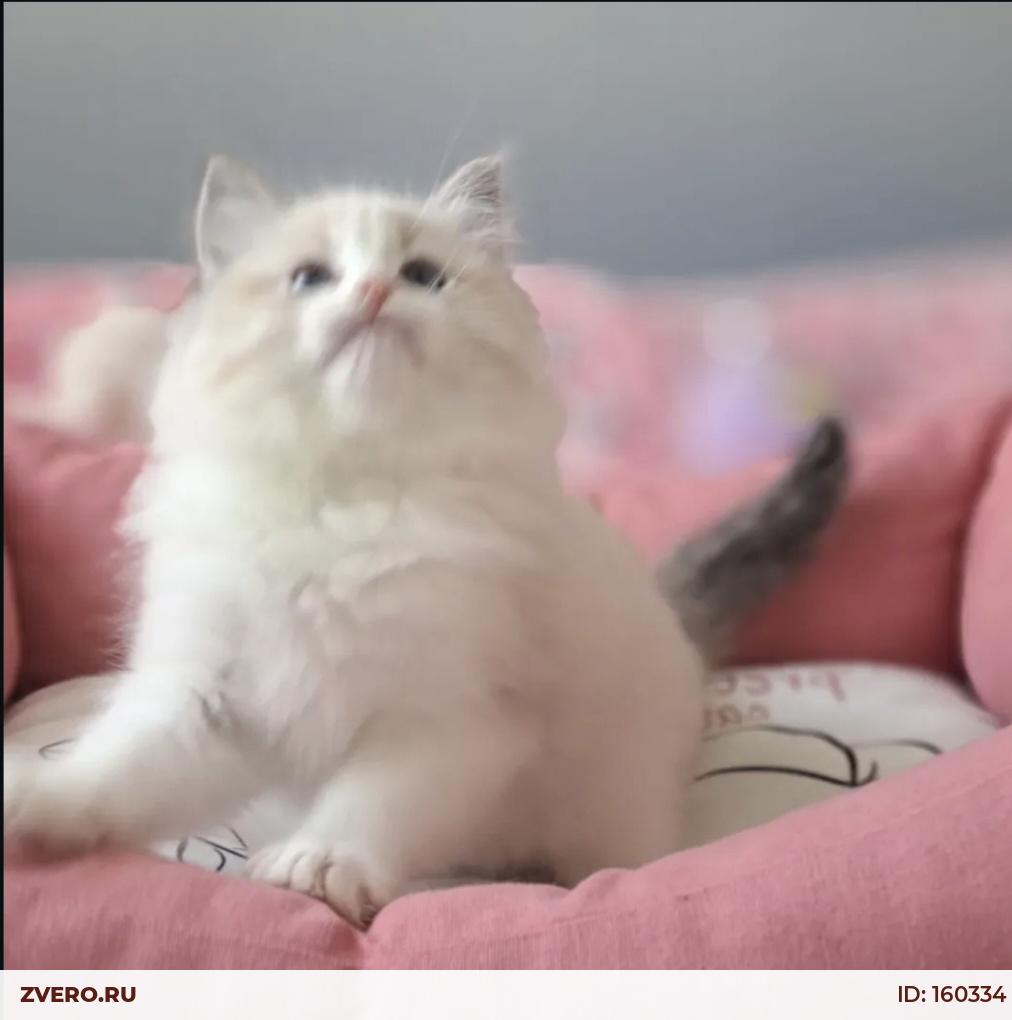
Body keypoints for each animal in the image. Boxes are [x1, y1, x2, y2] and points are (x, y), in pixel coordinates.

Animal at [5, 155, 711, 928]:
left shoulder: (448, 718)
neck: (341, 503)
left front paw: (318, 865)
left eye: (423, 276)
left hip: (615, 797)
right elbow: (116, 769)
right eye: (311, 277)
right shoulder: (204, 698)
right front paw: (39, 803)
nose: (373, 292)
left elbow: (373, 802)